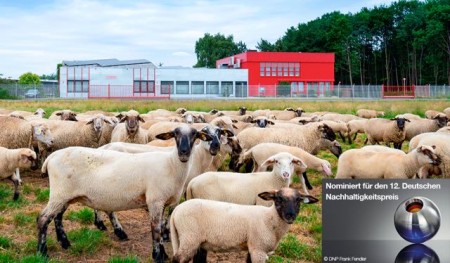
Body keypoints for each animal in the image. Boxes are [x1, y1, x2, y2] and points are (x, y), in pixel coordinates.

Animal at [37, 125, 213, 262]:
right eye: (175, 133)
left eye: (195, 134)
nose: (183, 152)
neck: (171, 164)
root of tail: (52, 157)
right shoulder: (155, 200)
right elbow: (156, 229)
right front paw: (157, 256)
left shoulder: (164, 201)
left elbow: (163, 227)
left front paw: (163, 253)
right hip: (59, 194)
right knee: (43, 219)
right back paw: (42, 252)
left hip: (65, 196)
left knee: (57, 217)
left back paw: (64, 242)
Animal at [171, 188, 318, 263]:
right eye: (278, 199)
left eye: (298, 200)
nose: (290, 216)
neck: (269, 219)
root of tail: (176, 211)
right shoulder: (259, 249)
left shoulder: (252, 246)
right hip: (189, 238)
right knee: (178, 259)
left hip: (196, 241)